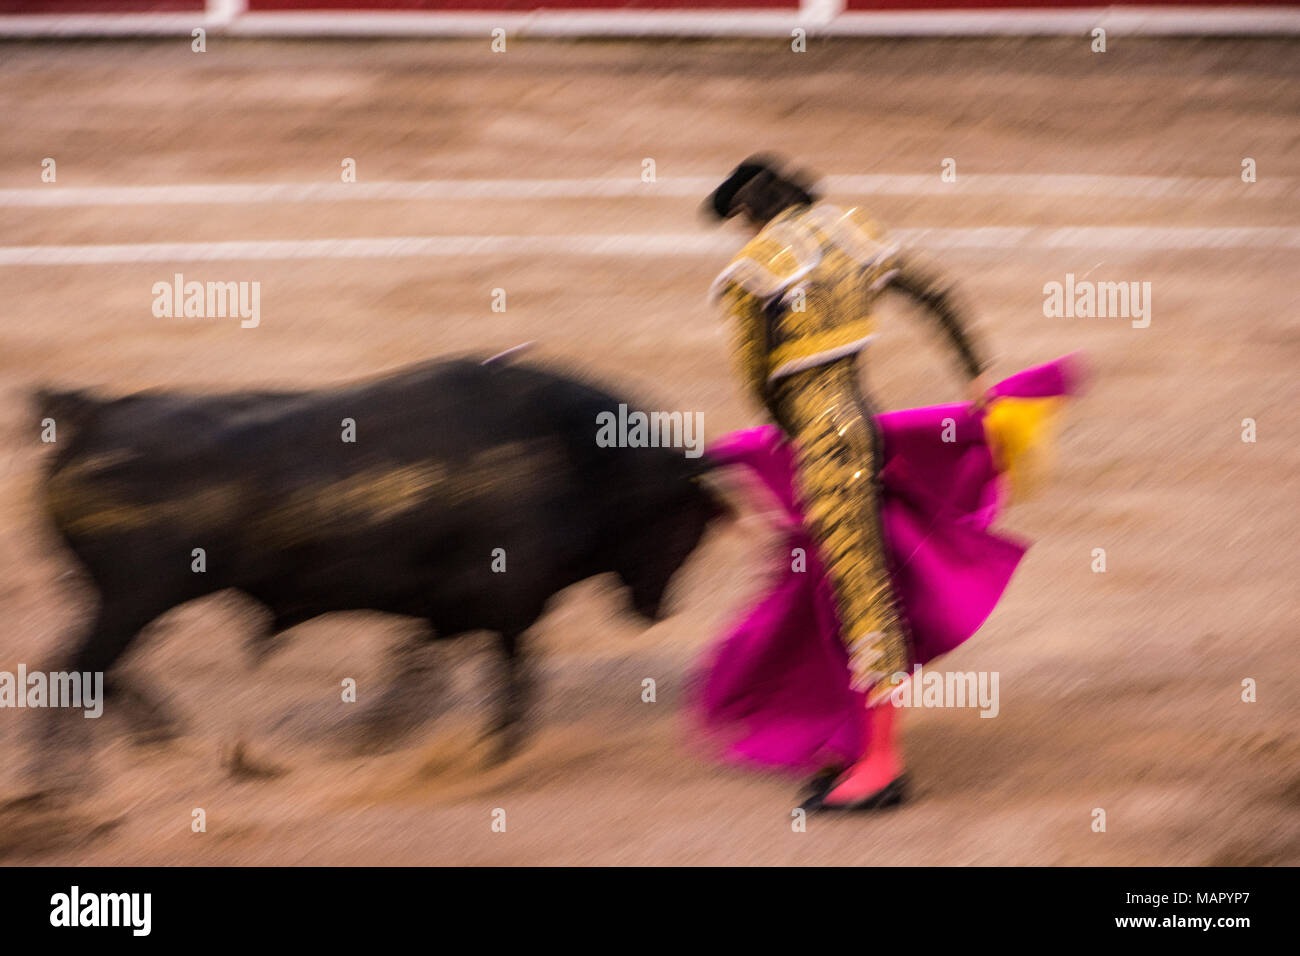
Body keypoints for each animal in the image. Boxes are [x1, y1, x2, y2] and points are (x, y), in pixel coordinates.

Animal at [32, 356, 722, 759]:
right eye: (684, 518)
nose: (661, 609)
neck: (572, 454)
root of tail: (94, 415)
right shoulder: (507, 601)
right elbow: (508, 672)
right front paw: (498, 746)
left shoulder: (453, 607)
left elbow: (422, 665)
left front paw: (380, 733)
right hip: (131, 600)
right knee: (78, 671)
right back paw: (64, 789)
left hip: (117, 601)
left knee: (90, 670)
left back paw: (159, 742)